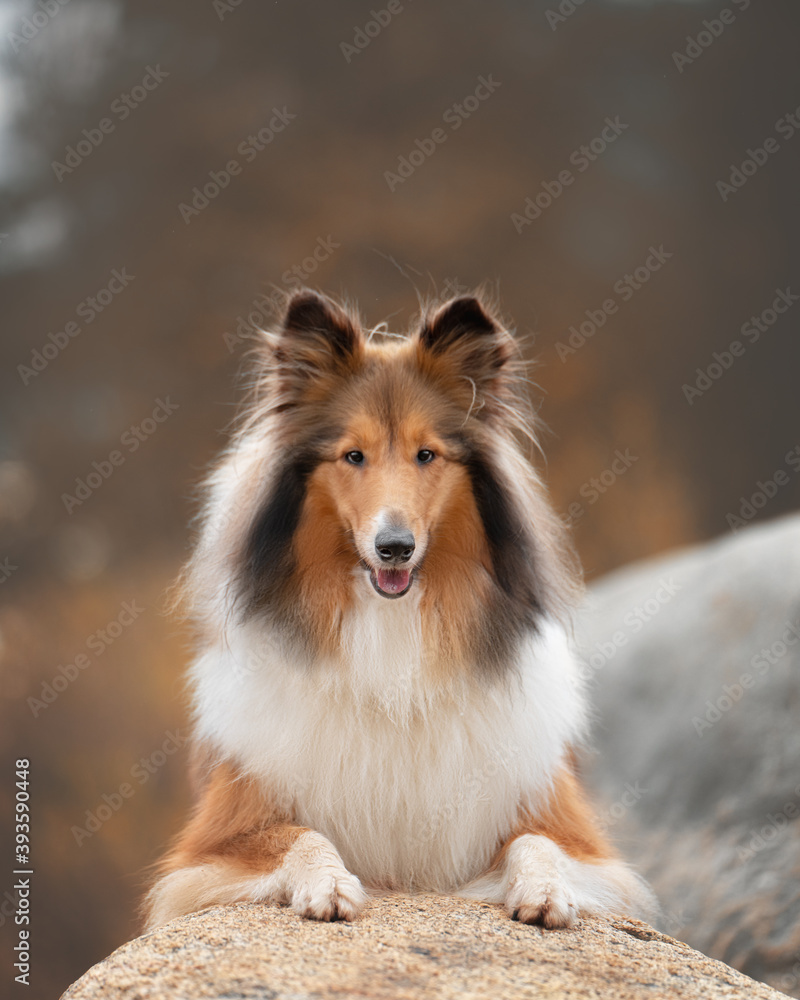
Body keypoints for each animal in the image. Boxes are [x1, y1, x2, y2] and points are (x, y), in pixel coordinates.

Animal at [144, 290, 656, 928]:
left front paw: (543, 891)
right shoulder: (213, 843)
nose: (395, 547)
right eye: (353, 455)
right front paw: (329, 884)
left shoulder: (569, 829)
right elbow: (301, 834)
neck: (392, 634)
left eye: (426, 454)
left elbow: (537, 842)